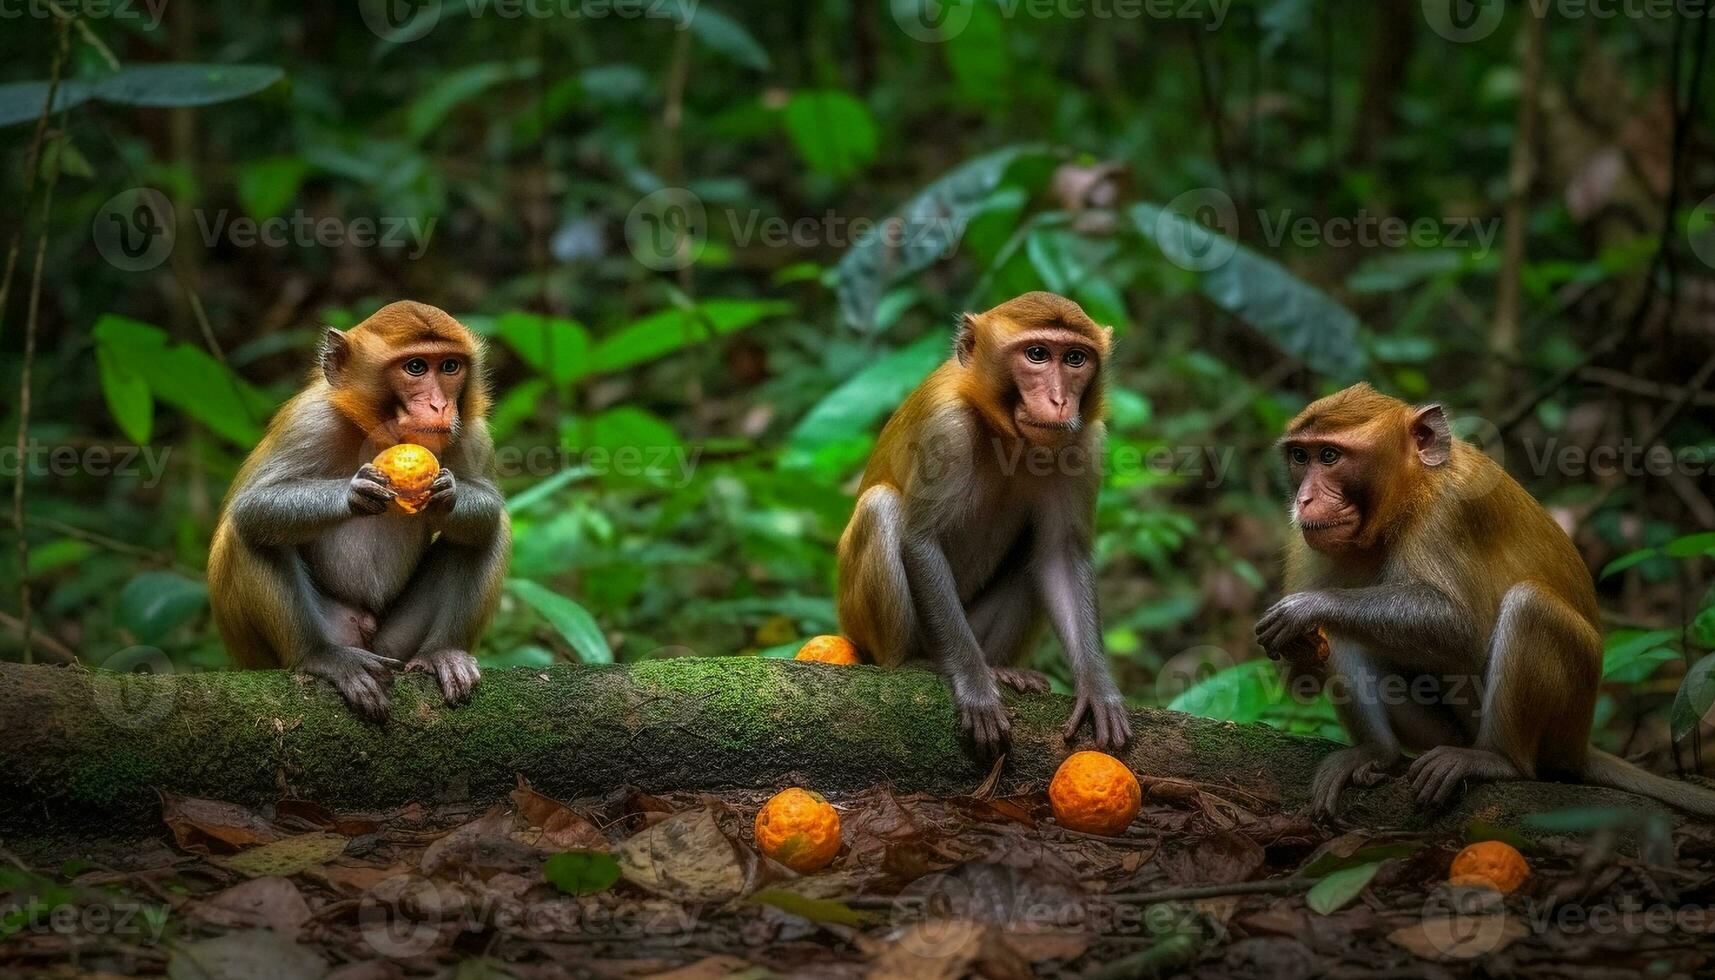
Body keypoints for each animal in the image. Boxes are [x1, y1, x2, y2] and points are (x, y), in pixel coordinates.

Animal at [207, 300, 507, 720]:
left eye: (450, 366)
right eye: (416, 367)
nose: (439, 406)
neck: (380, 433)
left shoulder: (473, 432)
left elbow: (489, 507)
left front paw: (448, 497)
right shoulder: (310, 420)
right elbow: (254, 504)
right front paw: (356, 493)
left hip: (395, 647)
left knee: (488, 532)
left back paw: (441, 652)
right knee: (249, 532)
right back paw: (323, 657)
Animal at [836, 291, 1131, 758]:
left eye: (1075, 359)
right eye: (1036, 354)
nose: (1059, 401)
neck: (1007, 435)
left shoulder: (1085, 444)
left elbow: (1061, 556)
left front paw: (1098, 686)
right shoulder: (948, 426)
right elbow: (921, 541)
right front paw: (974, 685)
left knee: (1033, 557)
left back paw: (1004, 670)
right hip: (867, 626)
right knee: (881, 508)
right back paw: (914, 663)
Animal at [1262, 382, 1715, 820]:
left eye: (1330, 455)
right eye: (1301, 456)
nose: (1303, 501)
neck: (1406, 500)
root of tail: (1580, 744)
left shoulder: (1450, 511)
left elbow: (1458, 627)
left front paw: (1309, 606)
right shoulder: (1310, 540)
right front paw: (1301, 643)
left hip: (1562, 720)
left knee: (1529, 606)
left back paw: (1499, 759)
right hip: (1442, 733)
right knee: (1349, 634)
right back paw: (1380, 753)